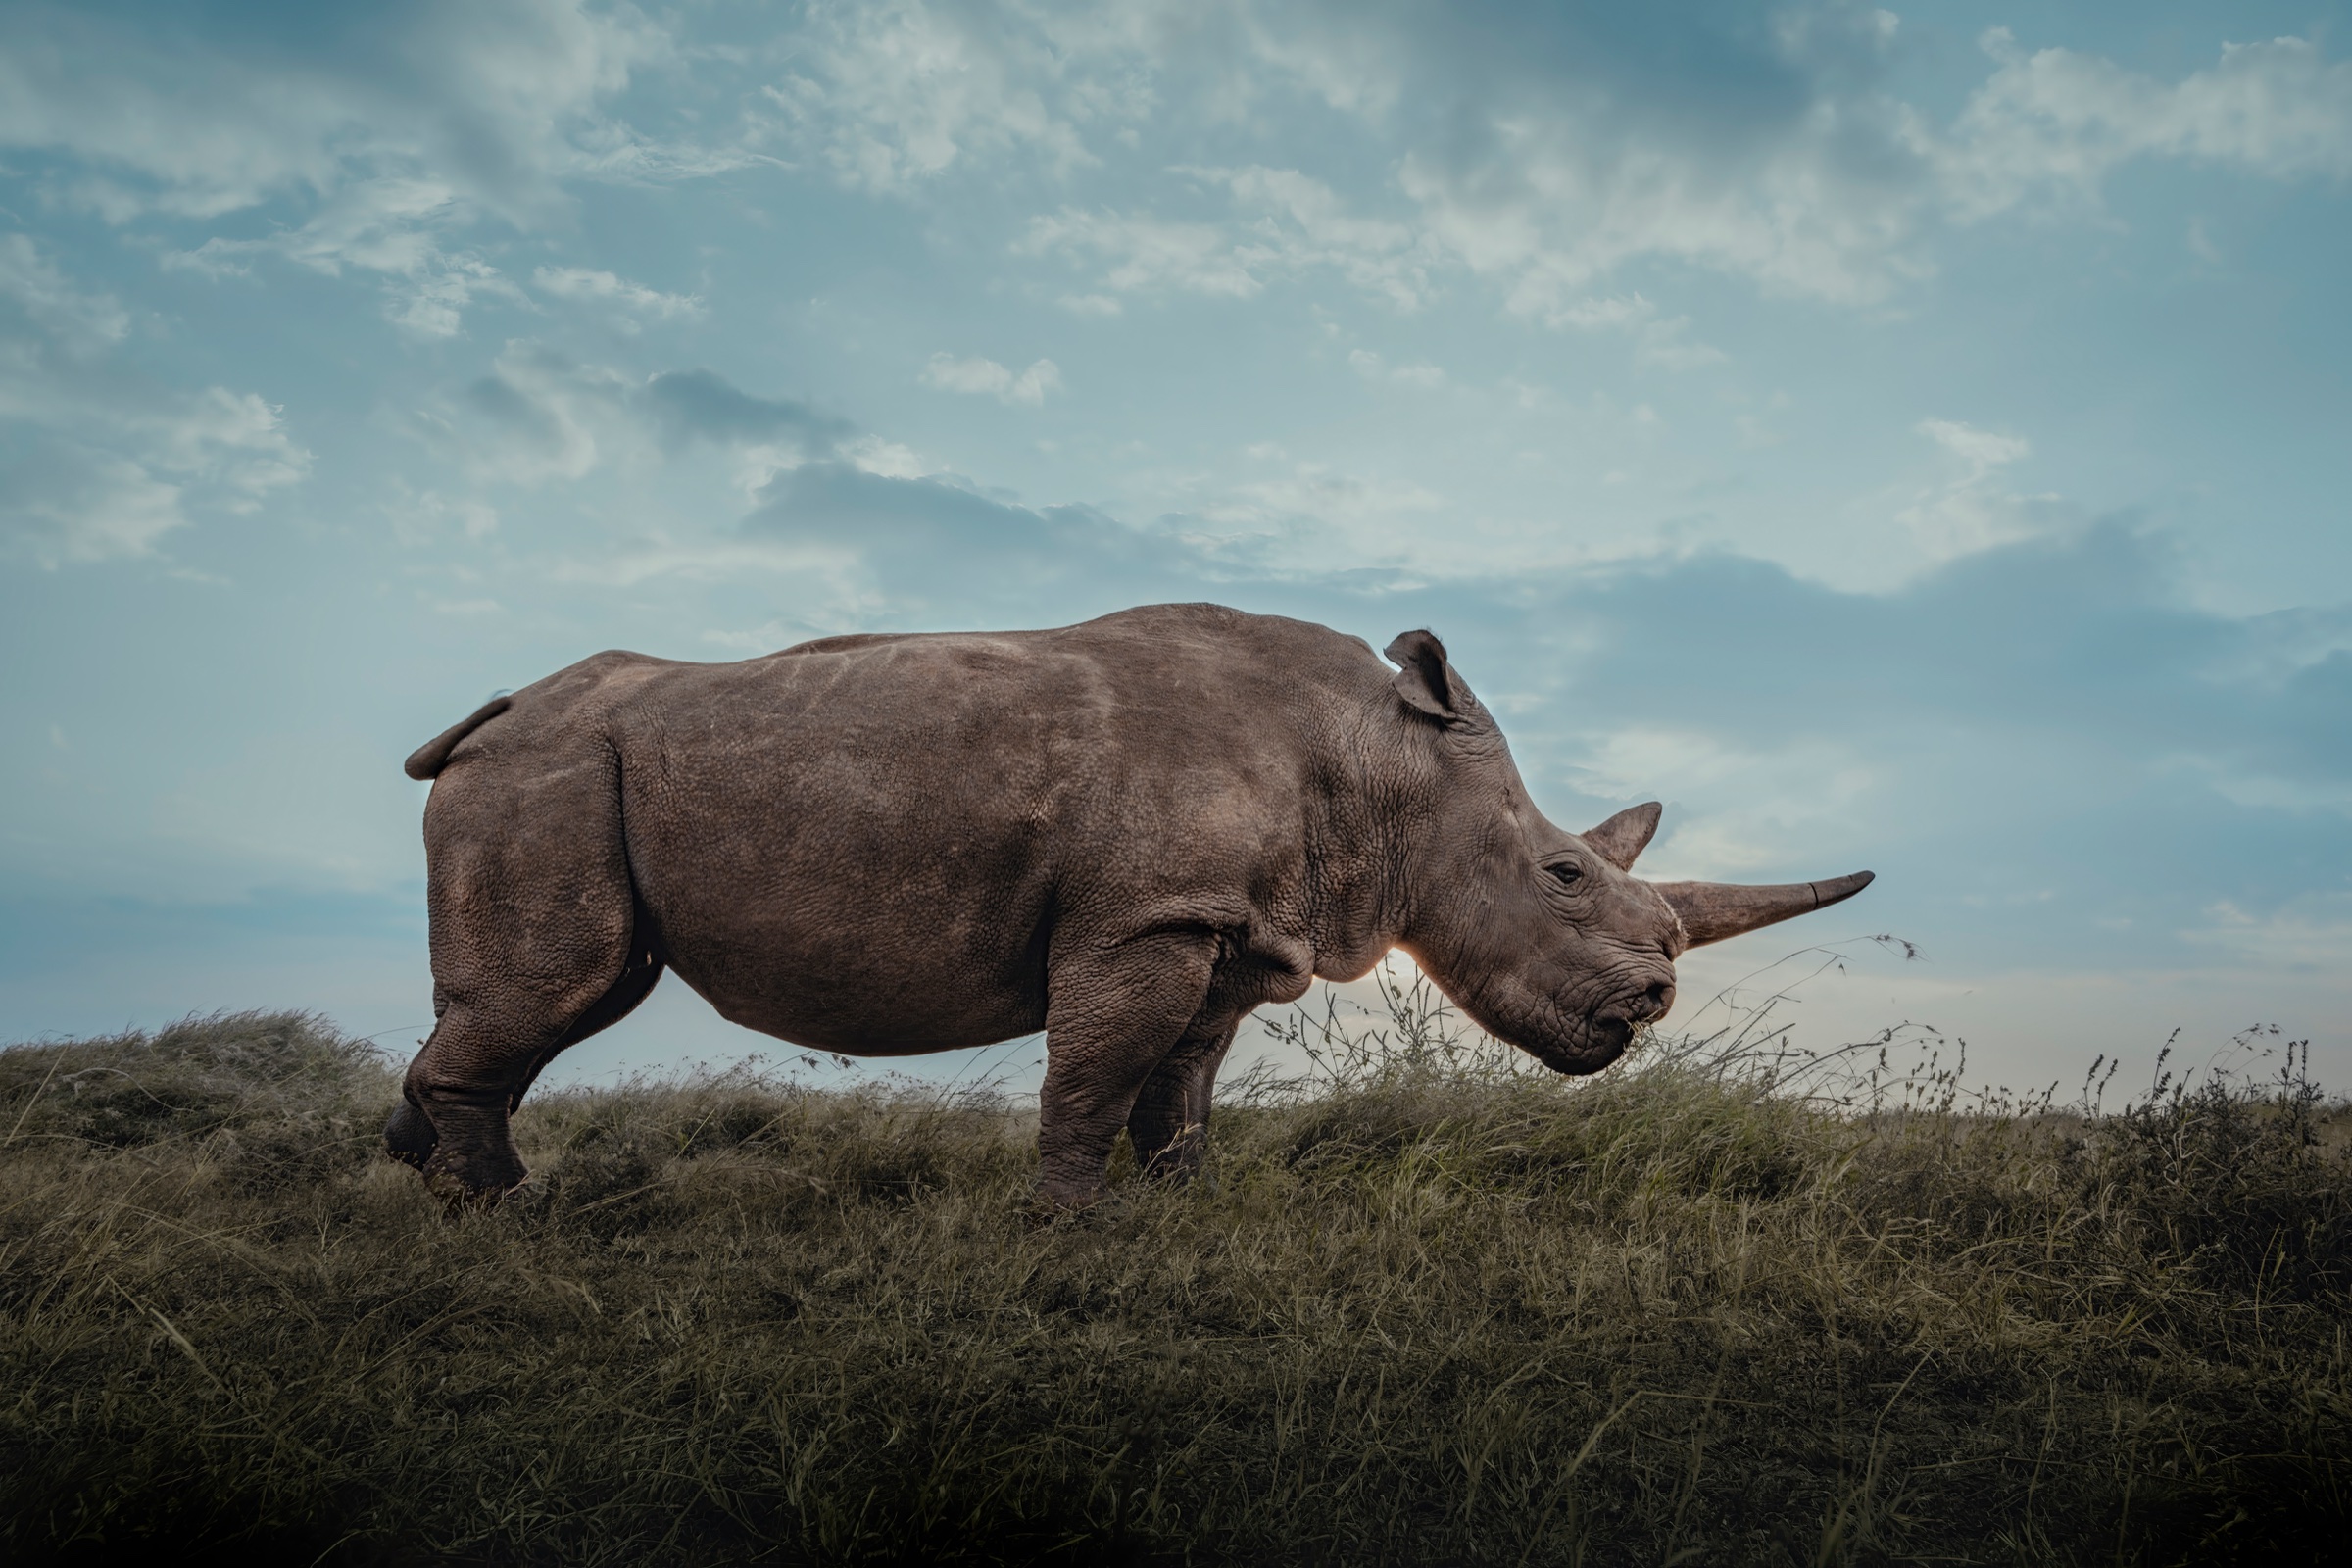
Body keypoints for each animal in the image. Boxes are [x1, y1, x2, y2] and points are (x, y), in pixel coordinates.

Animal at [390, 602, 1870, 1206]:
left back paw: (418, 1172)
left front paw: (1188, 1206)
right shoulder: (1145, 915)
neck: (1385, 762)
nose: (1652, 1003)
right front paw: (1073, 1223)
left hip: (563, 768)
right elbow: (1100, 1067)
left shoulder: (1228, 922)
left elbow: (1185, 1077)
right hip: (555, 772)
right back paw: (504, 1210)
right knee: (567, 984)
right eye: (1561, 874)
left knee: (548, 996)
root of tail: (486, 719)